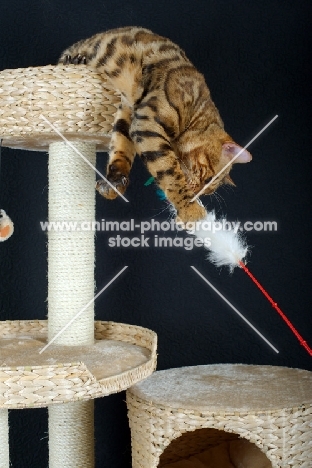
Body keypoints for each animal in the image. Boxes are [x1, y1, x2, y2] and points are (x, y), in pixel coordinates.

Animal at [58, 26, 251, 223]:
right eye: (208, 179)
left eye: (207, 190)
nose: (197, 193)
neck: (195, 109)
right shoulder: (148, 126)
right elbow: (170, 174)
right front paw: (190, 210)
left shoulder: (129, 115)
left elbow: (121, 149)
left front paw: (114, 182)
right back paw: (74, 60)